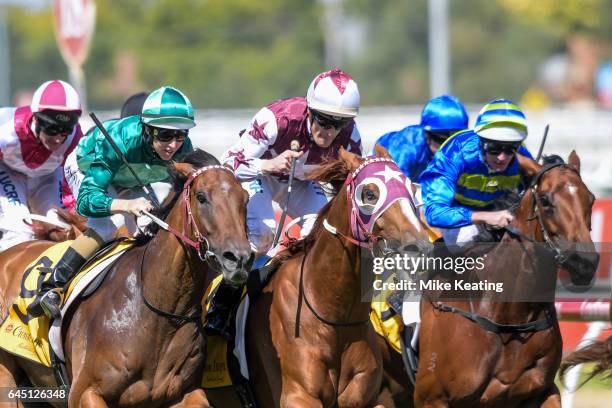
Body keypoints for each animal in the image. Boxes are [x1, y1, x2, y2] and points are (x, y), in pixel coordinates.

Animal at [0, 151, 253, 408]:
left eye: (245, 198)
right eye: (201, 197)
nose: (239, 258)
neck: (159, 311)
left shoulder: (184, 392)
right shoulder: (83, 392)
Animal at [204, 150, 430, 408]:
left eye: (412, 190)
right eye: (370, 194)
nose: (419, 246)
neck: (333, 311)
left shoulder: (365, 398)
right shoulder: (298, 396)